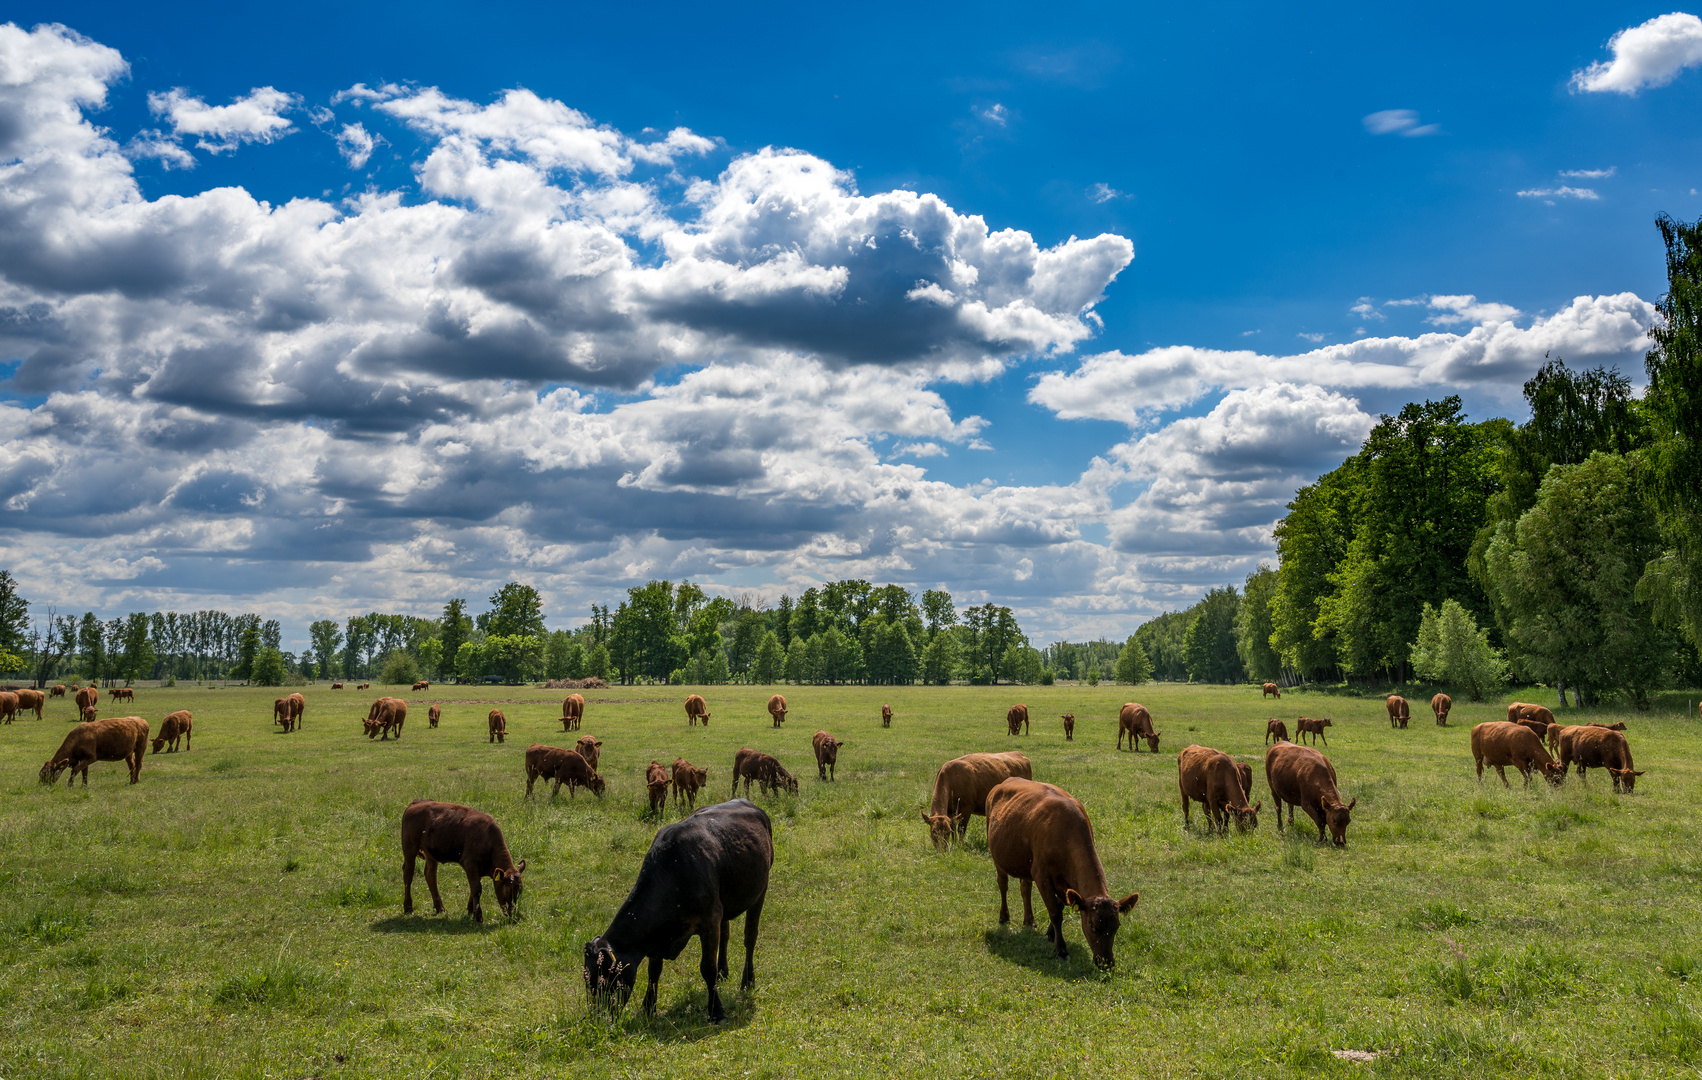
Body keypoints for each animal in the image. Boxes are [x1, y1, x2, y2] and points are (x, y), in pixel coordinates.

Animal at [582, 802, 776, 1020]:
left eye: (603, 979)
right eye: (587, 980)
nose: (598, 1017)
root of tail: (749, 804)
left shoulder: (709, 922)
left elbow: (707, 968)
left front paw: (716, 1011)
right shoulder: (658, 938)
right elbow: (654, 970)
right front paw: (648, 1008)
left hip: (760, 890)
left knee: (750, 937)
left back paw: (747, 981)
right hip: (725, 902)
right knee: (725, 935)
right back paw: (723, 973)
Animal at [980, 778, 1136, 972]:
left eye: (1117, 925)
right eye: (1091, 924)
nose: (1106, 962)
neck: (1067, 834)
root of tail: (1004, 782)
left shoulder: (1066, 884)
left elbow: (1060, 906)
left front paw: (1050, 934)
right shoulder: (1042, 875)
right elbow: (1055, 912)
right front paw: (1061, 949)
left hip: (1025, 863)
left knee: (1025, 889)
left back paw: (1029, 920)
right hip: (998, 857)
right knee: (1003, 885)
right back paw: (1004, 917)